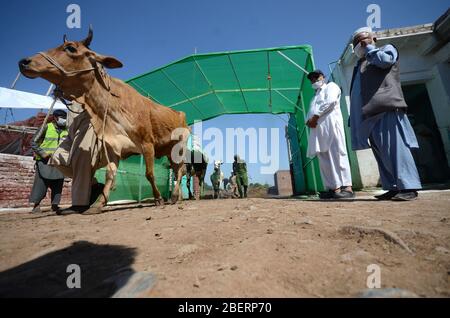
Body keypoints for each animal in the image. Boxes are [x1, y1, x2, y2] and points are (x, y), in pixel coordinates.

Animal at [18, 26, 188, 211]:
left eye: (71, 48)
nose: (24, 62)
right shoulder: (114, 147)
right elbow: (110, 175)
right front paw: (99, 203)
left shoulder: (147, 143)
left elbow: (149, 173)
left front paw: (158, 198)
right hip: (169, 151)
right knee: (178, 170)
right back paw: (177, 197)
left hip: (179, 148)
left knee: (180, 170)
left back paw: (174, 197)